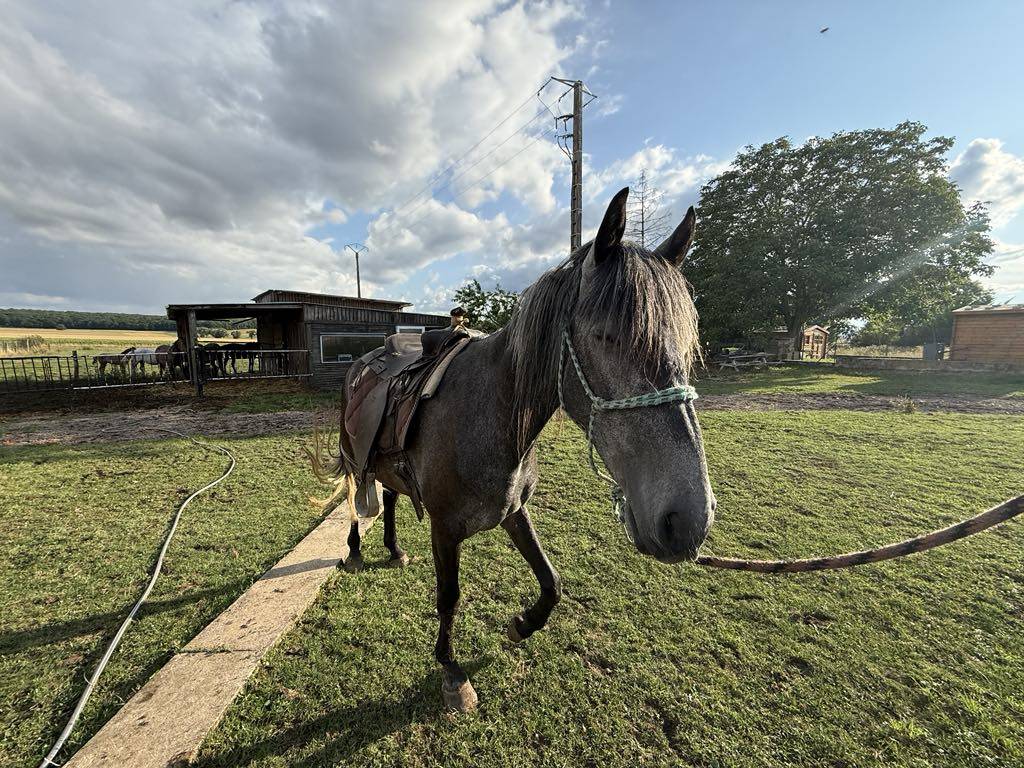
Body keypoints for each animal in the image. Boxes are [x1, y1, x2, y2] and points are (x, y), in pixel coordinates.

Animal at [321, 188, 715, 712]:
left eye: (687, 345)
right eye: (605, 336)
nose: (688, 521)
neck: (488, 414)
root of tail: (362, 362)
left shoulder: (513, 511)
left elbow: (552, 582)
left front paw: (522, 625)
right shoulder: (445, 529)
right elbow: (449, 596)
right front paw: (451, 671)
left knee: (387, 493)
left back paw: (394, 548)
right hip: (353, 454)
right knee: (356, 493)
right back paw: (356, 550)